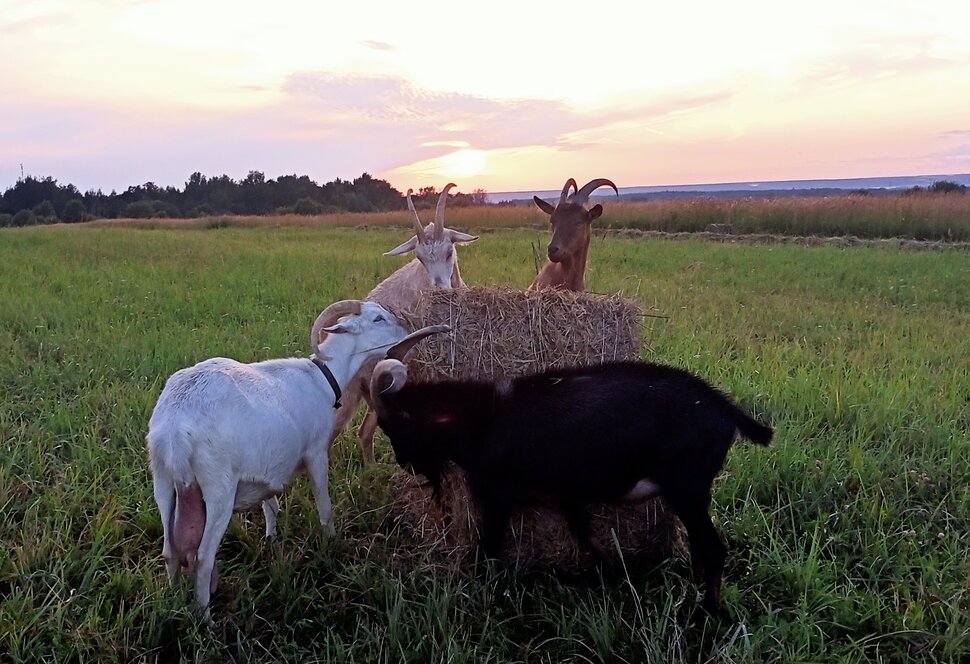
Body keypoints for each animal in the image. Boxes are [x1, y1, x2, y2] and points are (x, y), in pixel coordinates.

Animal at [146, 300, 444, 624]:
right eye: (378, 318)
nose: (408, 329)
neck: (322, 377)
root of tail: (176, 428)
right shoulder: (316, 452)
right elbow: (324, 506)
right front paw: (332, 544)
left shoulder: (268, 463)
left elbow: (270, 504)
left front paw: (272, 538)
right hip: (217, 488)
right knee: (202, 557)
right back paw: (205, 620)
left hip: (163, 483)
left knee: (170, 551)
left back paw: (173, 601)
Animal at [330, 183, 478, 462]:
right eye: (419, 258)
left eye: (449, 251)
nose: (440, 291)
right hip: (350, 393)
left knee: (364, 432)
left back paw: (372, 469)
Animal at [370, 358, 772, 612]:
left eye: (393, 426)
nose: (405, 465)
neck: (485, 418)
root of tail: (724, 409)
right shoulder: (570, 494)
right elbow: (586, 536)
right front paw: (608, 574)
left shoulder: (498, 495)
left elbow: (488, 548)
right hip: (691, 495)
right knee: (701, 547)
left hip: (686, 489)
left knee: (715, 548)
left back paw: (708, 613)